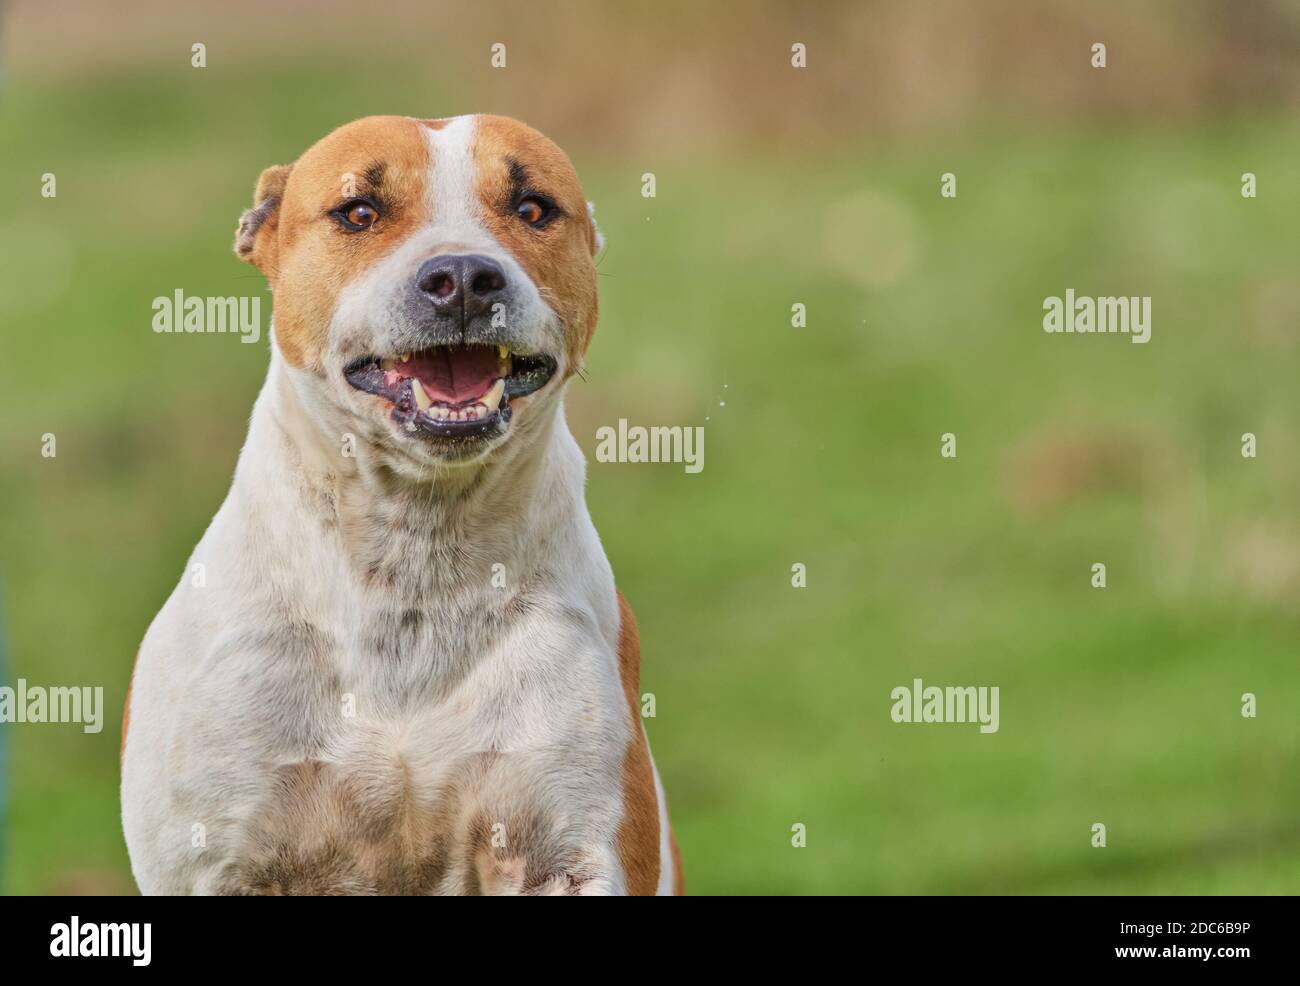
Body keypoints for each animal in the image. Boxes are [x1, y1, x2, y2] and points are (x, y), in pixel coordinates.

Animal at [120, 113, 686, 894]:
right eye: (359, 212)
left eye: (533, 208)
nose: (464, 279)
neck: (414, 540)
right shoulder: (216, 855)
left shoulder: (569, 847)